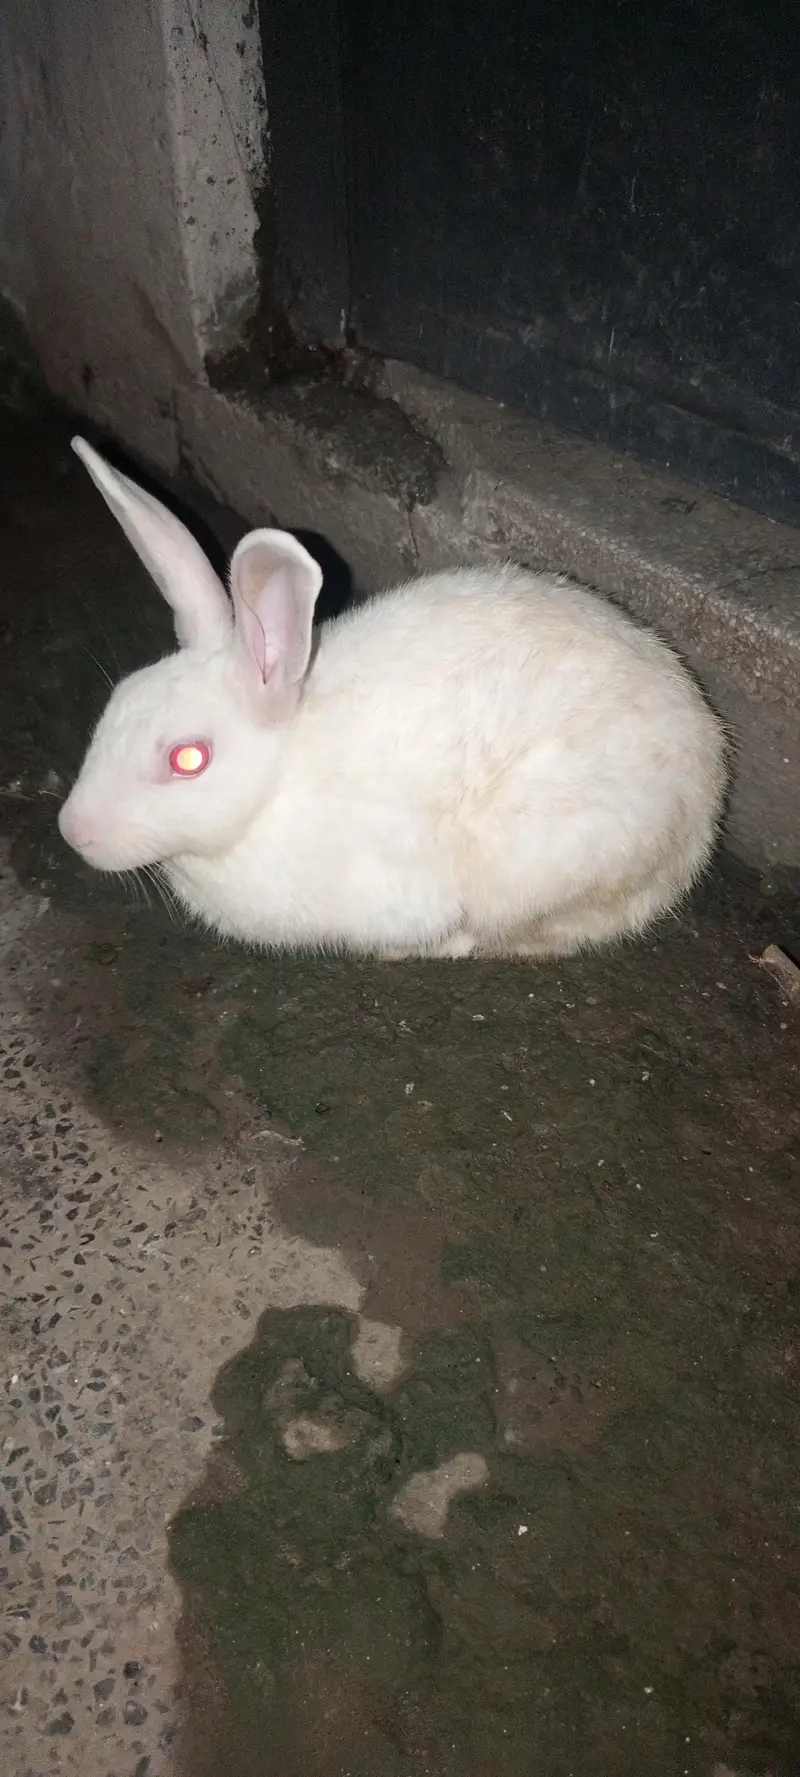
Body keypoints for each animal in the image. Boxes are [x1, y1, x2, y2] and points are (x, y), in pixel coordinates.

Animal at [58, 436, 727, 961]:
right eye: (115, 703)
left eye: (189, 759)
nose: (73, 832)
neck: (278, 781)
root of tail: (706, 795)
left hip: (550, 859)